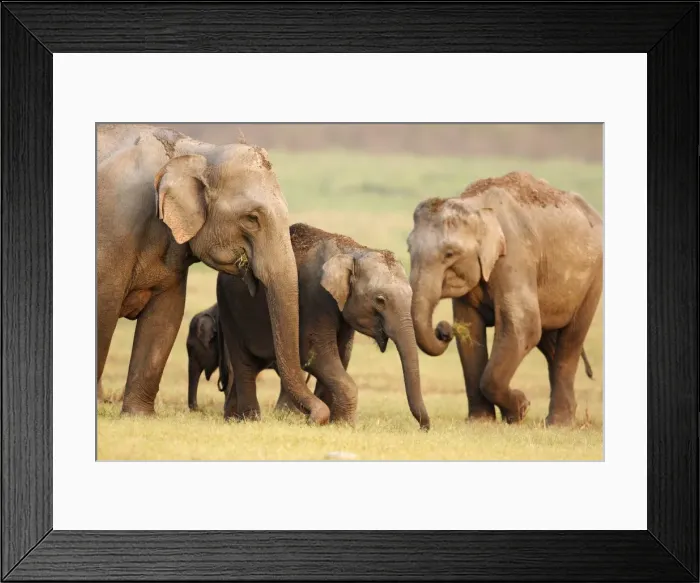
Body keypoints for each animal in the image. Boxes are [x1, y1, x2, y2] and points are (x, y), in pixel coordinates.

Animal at [96, 124, 330, 423]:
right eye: (251, 219)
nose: (317, 417)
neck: (196, 152)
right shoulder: (115, 226)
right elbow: (104, 308)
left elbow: (165, 318)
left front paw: (139, 417)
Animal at [216, 223, 431, 430]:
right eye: (380, 300)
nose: (424, 428)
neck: (352, 251)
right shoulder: (315, 298)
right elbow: (315, 354)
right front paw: (344, 425)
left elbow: (342, 354)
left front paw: (336, 423)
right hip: (228, 308)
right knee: (245, 365)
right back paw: (250, 420)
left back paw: (232, 419)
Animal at [407, 171, 602, 426]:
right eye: (408, 249)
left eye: (449, 254)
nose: (443, 330)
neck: (476, 206)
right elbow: (469, 330)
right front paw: (481, 422)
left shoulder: (515, 256)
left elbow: (523, 327)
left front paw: (520, 409)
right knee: (550, 343)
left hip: (594, 278)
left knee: (571, 340)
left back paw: (558, 424)